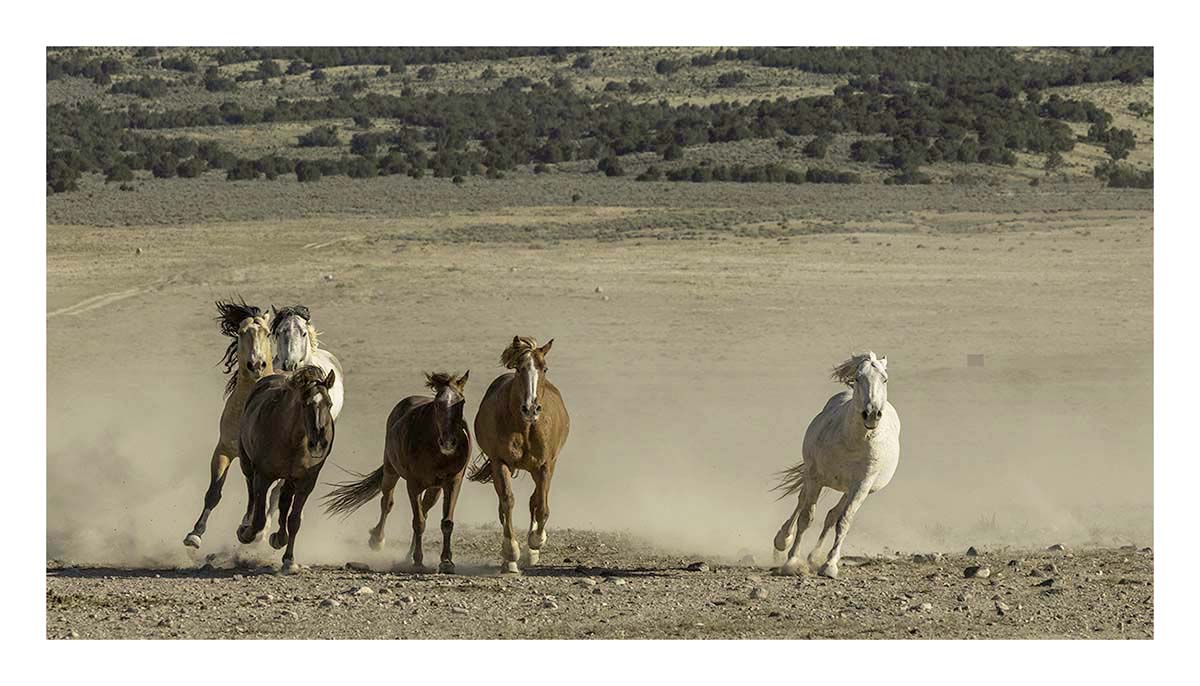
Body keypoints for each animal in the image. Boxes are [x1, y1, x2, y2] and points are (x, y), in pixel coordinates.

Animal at [182, 299, 274, 549]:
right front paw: (194, 534)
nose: (256, 364)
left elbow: (257, 495)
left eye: (267, 332)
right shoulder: (224, 449)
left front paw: (247, 527)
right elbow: (214, 492)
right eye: (242, 333)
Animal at [236, 365, 337, 574]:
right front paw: (247, 533)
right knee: (250, 490)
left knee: (283, 501)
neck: (293, 440)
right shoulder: (263, 476)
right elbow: (259, 519)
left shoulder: (306, 481)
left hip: (289, 479)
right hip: (247, 463)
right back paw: (245, 525)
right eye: (305, 404)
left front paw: (289, 560)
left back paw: (279, 537)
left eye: (330, 404)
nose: (319, 443)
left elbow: (294, 519)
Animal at [322, 371, 471, 573]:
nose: (448, 442)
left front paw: (446, 562)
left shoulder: (453, 482)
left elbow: (446, 522)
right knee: (387, 503)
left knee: (424, 510)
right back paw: (377, 540)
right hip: (390, 471)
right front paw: (418, 561)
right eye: (437, 403)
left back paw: (407, 554)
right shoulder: (413, 484)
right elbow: (418, 522)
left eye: (461, 402)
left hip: (434, 489)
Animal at [468, 336, 570, 573]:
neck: (525, 427)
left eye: (544, 368)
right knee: (504, 507)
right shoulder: (500, 463)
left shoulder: (545, 466)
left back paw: (531, 552)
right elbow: (507, 502)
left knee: (535, 500)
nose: (531, 408)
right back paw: (510, 562)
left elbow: (541, 506)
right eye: (518, 368)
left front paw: (535, 543)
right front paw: (511, 553)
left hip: (540, 470)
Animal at [772, 352, 901, 579]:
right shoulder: (815, 477)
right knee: (801, 502)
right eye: (858, 378)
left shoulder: (861, 485)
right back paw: (782, 540)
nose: (871, 414)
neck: (853, 441)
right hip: (811, 475)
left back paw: (814, 556)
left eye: (884, 379)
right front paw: (792, 561)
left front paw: (829, 565)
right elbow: (806, 517)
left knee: (832, 515)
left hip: (849, 489)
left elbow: (843, 521)